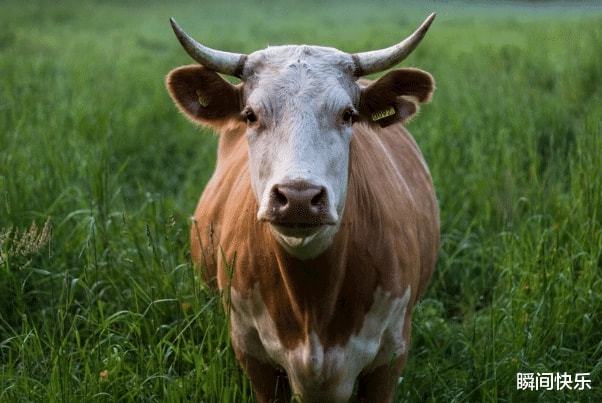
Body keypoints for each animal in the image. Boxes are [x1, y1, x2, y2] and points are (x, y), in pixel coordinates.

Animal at [166, 13, 438, 403]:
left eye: (348, 115)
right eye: (250, 115)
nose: (298, 198)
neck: (313, 304)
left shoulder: (390, 358)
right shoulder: (253, 355)